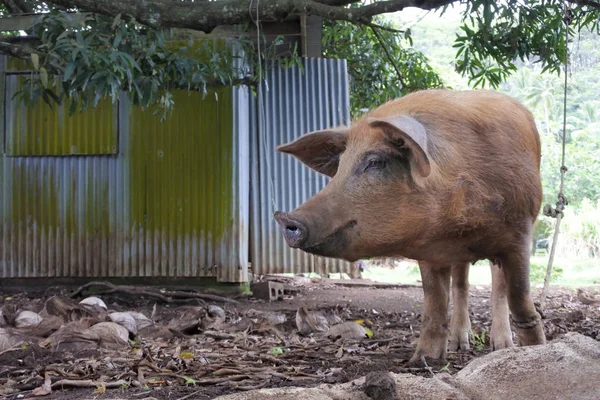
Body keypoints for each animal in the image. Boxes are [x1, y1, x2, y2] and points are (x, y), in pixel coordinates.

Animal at [274, 89, 548, 364]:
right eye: (340, 166)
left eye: (376, 161)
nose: (285, 218)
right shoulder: (428, 251)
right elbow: (434, 299)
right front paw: (422, 360)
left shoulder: (520, 232)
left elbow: (518, 296)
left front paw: (535, 349)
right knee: (461, 285)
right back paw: (459, 346)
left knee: (497, 286)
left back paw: (501, 346)